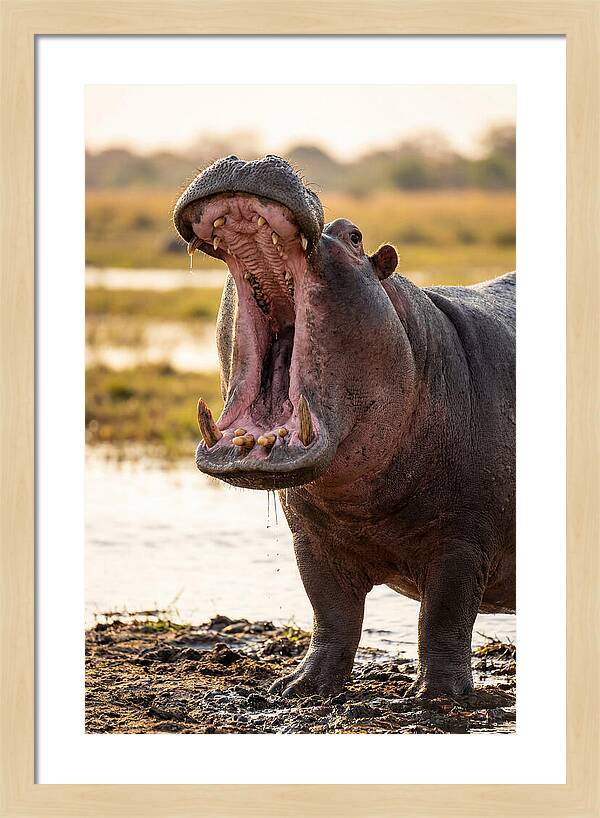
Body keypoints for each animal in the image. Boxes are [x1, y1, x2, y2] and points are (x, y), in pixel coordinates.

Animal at [173, 155, 515, 699]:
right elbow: (331, 612)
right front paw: (299, 687)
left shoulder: (463, 542)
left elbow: (444, 618)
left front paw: (436, 698)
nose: (248, 158)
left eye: (354, 236)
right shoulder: (310, 540)